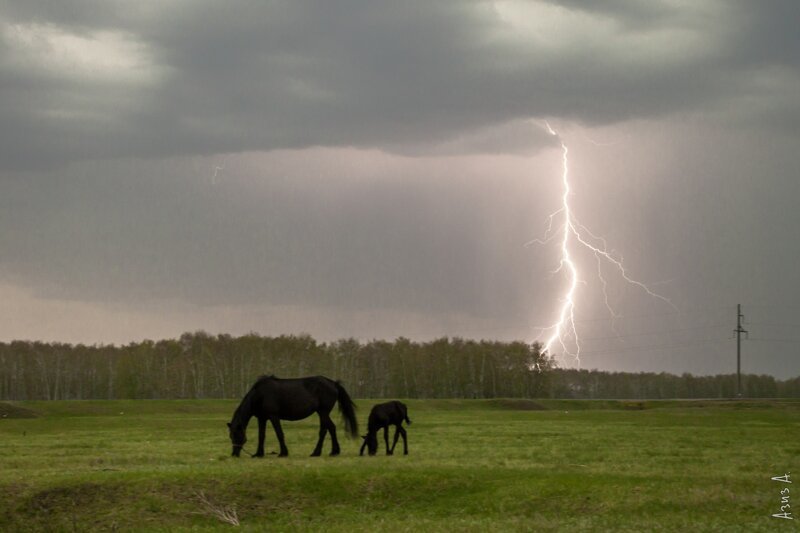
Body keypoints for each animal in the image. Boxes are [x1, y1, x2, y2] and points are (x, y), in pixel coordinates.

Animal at [228, 374, 360, 458]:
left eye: (236, 435)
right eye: (230, 436)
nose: (234, 454)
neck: (259, 395)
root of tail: (333, 383)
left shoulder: (273, 416)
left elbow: (279, 434)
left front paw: (283, 453)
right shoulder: (262, 418)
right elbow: (261, 436)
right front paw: (258, 454)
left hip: (323, 412)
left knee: (326, 429)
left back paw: (320, 452)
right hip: (322, 413)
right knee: (330, 428)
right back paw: (331, 451)